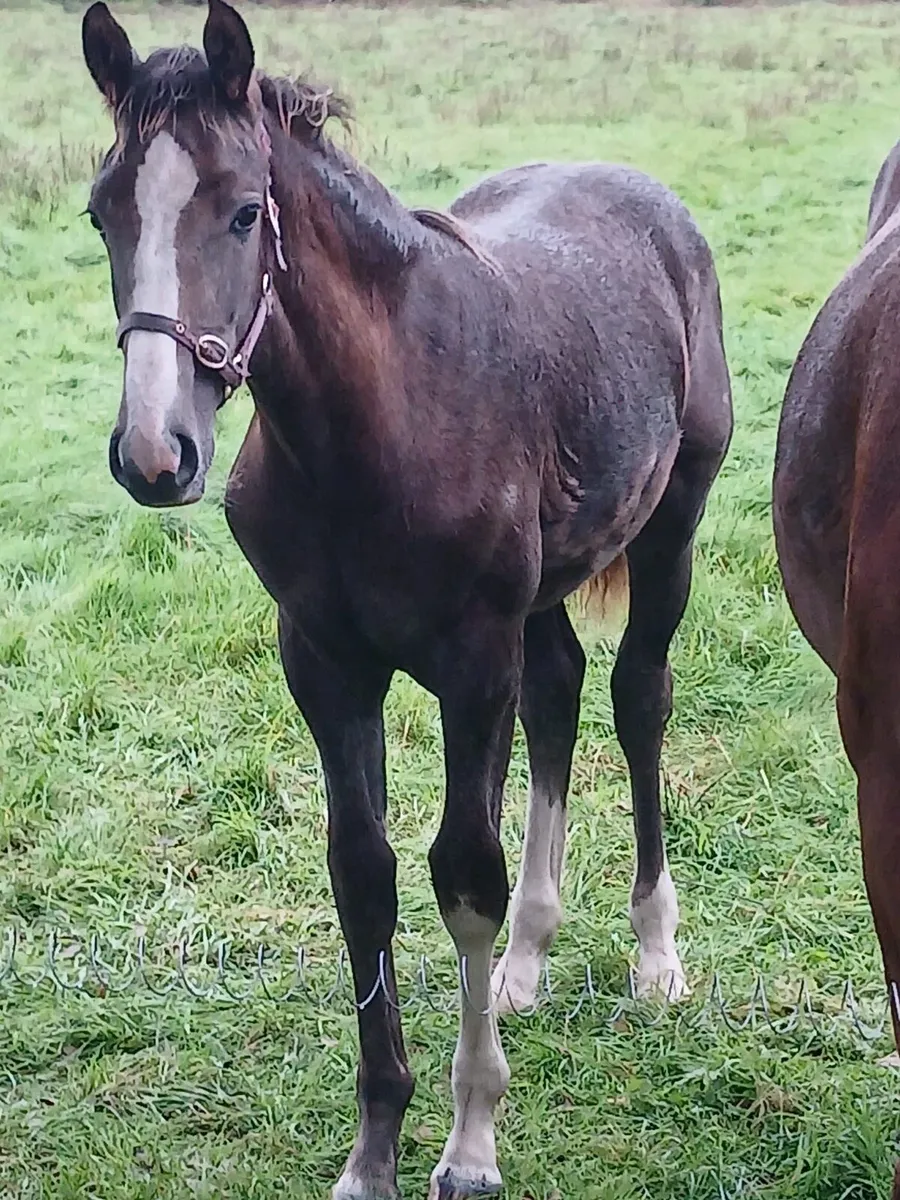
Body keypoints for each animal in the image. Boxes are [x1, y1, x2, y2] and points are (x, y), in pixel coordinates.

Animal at [81, 1, 733, 1195]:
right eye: (104, 211)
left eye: (245, 211)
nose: (156, 453)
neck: (374, 422)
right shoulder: (325, 662)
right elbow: (365, 874)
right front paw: (375, 1147)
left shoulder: (471, 660)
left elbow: (461, 873)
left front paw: (470, 1145)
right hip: (543, 591)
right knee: (560, 694)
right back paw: (526, 963)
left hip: (672, 530)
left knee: (638, 700)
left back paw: (654, 954)